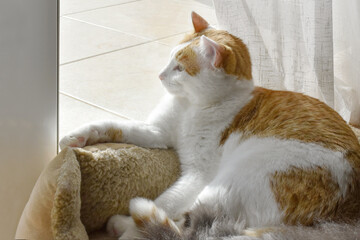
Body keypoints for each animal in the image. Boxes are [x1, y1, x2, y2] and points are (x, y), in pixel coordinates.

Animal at [59, 11, 360, 240]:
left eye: (180, 68)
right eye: (169, 58)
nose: (160, 75)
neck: (191, 106)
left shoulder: (198, 174)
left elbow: (164, 203)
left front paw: (130, 229)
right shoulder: (157, 132)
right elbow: (113, 126)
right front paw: (75, 138)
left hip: (230, 182)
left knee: (186, 228)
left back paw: (121, 224)